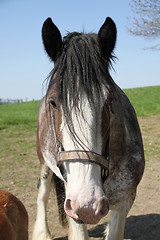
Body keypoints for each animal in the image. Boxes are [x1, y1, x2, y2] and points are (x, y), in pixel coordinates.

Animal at [32, 17, 145, 240]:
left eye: (109, 100)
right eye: (53, 102)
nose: (87, 205)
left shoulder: (124, 201)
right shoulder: (74, 208)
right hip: (44, 163)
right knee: (42, 192)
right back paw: (42, 233)